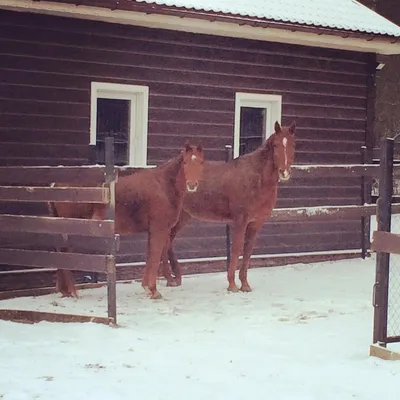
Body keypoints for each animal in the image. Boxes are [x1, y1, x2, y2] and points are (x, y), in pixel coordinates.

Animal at [50, 142, 205, 298]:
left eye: (200, 162)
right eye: (185, 162)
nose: (192, 184)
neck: (163, 185)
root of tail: (55, 186)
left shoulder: (153, 231)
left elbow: (150, 256)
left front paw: (147, 288)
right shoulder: (159, 229)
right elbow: (155, 257)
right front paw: (153, 290)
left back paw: (65, 291)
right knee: (65, 255)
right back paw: (72, 291)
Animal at [161, 120, 296, 292]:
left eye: (293, 144)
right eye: (276, 145)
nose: (284, 172)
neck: (256, 178)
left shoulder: (256, 223)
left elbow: (248, 251)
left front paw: (245, 284)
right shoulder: (240, 221)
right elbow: (236, 249)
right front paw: (232, 284)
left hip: (183, 216)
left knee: (168, 241)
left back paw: (174, 278)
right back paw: (170, 278)